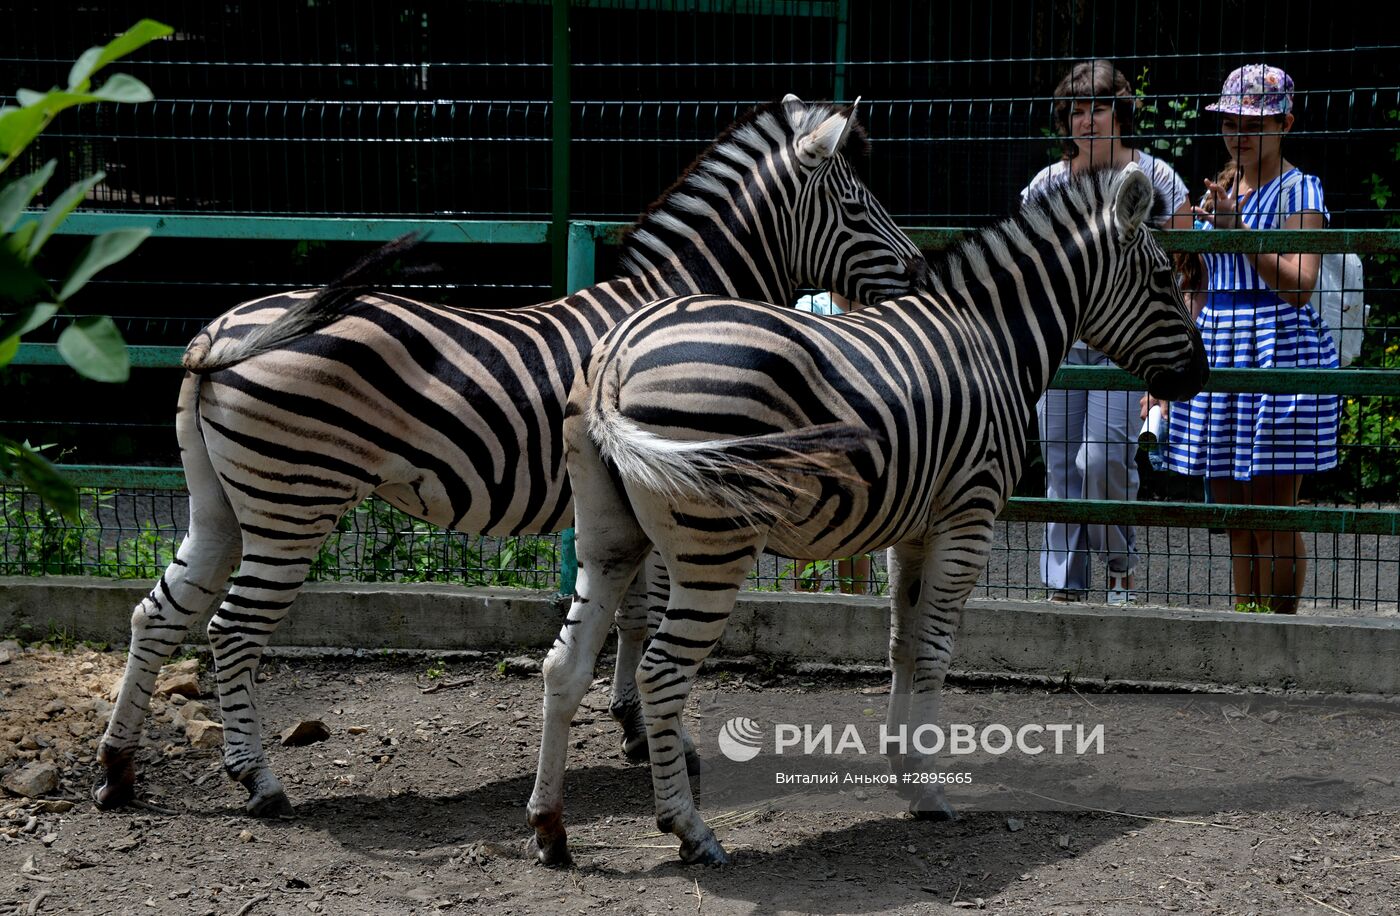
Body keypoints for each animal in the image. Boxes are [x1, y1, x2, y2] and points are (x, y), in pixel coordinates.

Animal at [95, 95, 929, 817]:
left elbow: (629, 618)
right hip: (293, 499)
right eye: (860, 207)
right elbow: (650, 618)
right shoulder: (672, 492)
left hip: (221, 501)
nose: (921, 276)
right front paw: (666, 741)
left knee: (158, 613)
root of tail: (218, 334)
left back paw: (117, 770)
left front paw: (632, 726)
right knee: (231, 630)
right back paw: (258, 782)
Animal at [529, 165, 1209, 868]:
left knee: (564, 666)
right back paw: (691, 831)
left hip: (610, 537)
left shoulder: (912, 529)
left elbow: (901, 643)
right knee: (661, 673)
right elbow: (934, 651)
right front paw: (929, 792)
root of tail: (615, 359)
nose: (1200, 374)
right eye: (1165, 279)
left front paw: (902, 762)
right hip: (714, 544)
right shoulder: (969, 516)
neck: (992, 339)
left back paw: (551, 830)